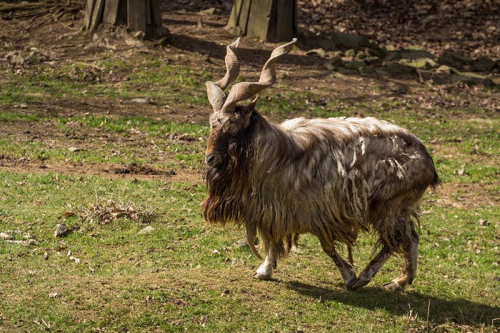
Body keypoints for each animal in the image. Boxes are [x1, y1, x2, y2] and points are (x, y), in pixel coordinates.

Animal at [202, 38, 438, 288]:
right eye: (212, 123)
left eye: (232, 125)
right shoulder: (273, 209)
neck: (276, 153)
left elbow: (326, 246)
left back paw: (366, 278)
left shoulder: (315, 210)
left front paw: (348, 275)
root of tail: (426, 159)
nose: (210, 158)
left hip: (388, 206)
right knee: (411, 237)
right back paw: (402, 280)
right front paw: (265, 270)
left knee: (395, 240)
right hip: (400, 208)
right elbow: (272, 240)